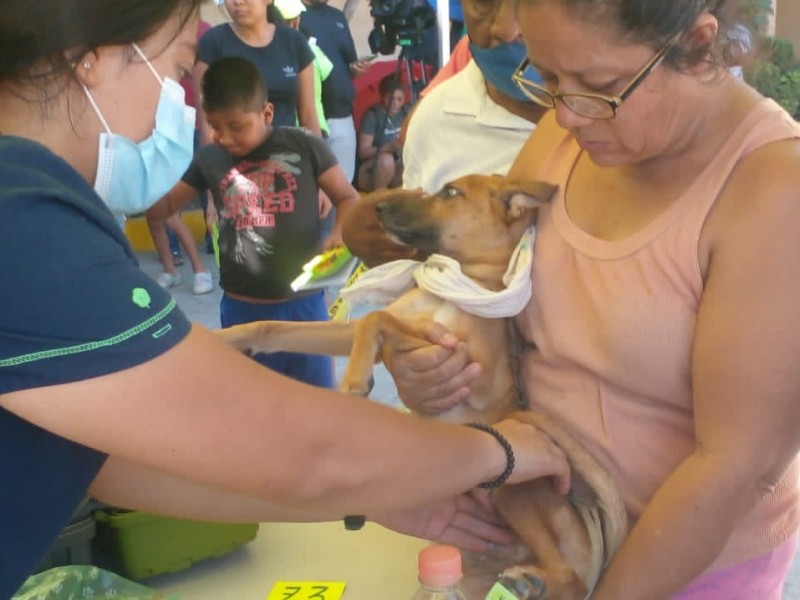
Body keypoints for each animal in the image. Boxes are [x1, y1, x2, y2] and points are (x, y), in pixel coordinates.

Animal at [216, 172, 628, 596]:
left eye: (450, 192)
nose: (378, 206)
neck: (458, 282)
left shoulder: (472, 365)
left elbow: (376, 319)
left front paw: (354, 380)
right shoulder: (363, 333)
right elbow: (278, 326)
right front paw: (230, 338)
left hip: (515, 490)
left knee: (571, 580)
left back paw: (531, 582)